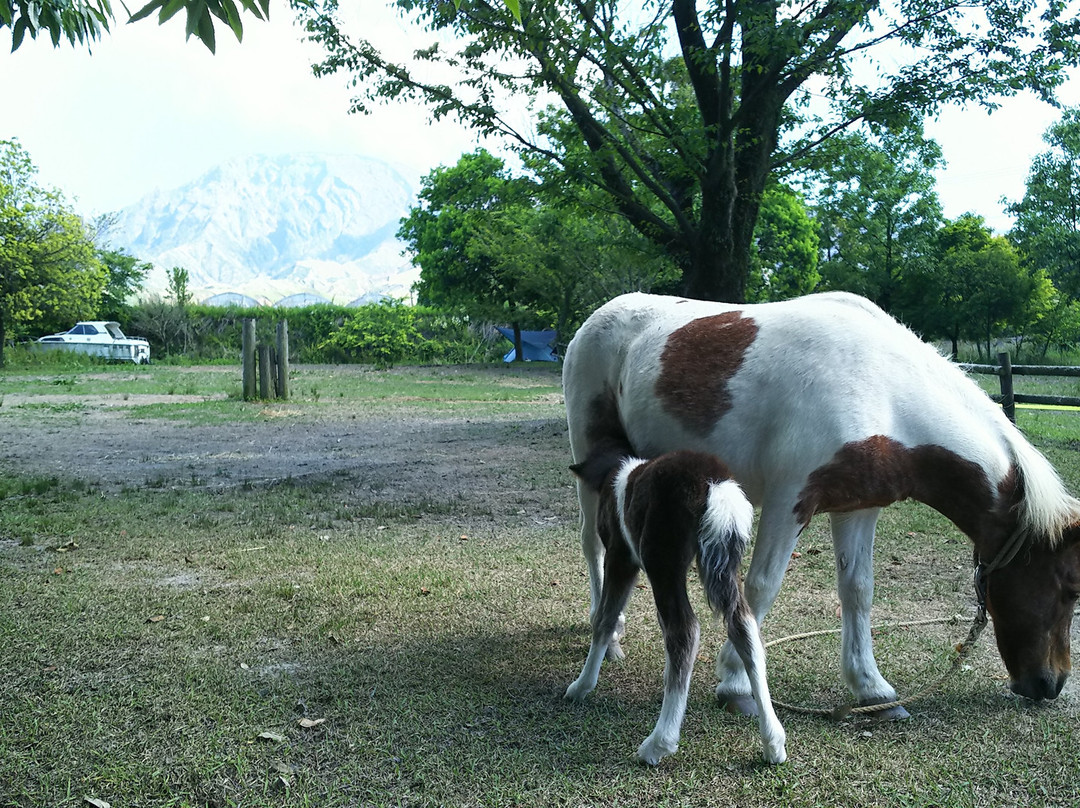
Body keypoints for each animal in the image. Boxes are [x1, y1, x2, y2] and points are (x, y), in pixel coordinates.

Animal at [561, 291, 1080, 712]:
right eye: (1070, 589)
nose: (1050, 684)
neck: (882, 386)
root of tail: (599, 316)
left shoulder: (858, 507)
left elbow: (858, 590)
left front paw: (871, 688)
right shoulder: (790, 500)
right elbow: (761, 587)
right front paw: (735, 682)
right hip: (591, 464)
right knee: (593, 543)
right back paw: (608, 633)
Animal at [565, 445, 786, 769]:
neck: (617, 477)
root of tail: (714, 483)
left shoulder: (621, 557)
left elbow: (605, 619)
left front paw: (581, 687)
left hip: (661, 557)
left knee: (684, 630)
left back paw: (658, 743)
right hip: (723, 563)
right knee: (743, 627)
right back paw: (774, 742)